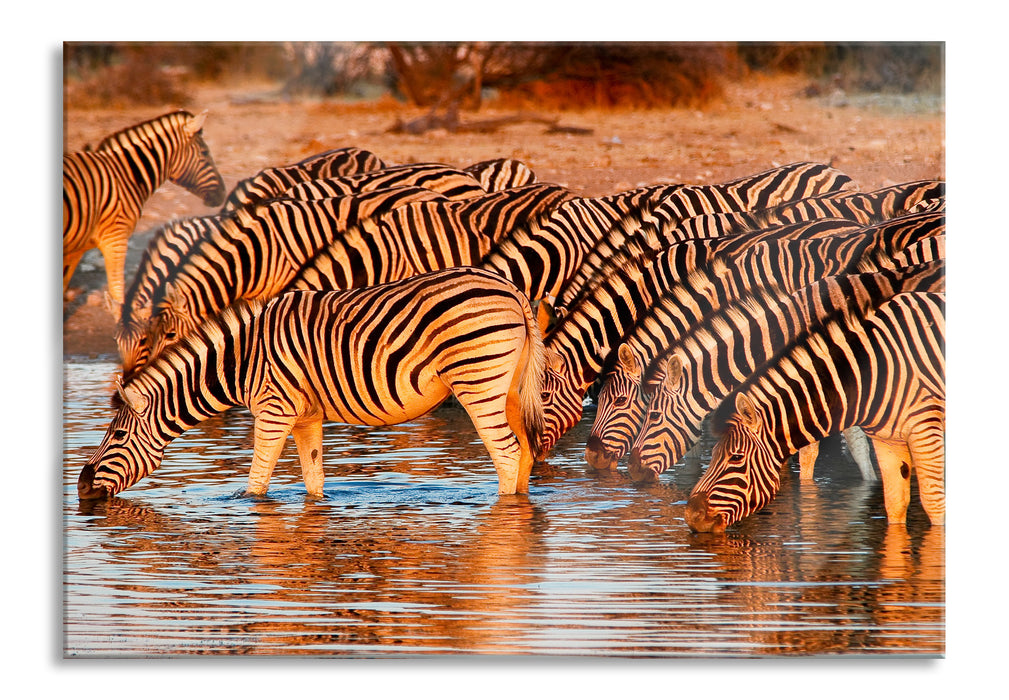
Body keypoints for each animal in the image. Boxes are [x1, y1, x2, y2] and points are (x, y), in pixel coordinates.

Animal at [65, 109, 227, 310]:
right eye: (204, 153)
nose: (223, 193)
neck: (124, 174)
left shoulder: (76, 249)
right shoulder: (115, 238)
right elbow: (118, 294)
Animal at [686, 290, 944, 532]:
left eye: (736, 458)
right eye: (714, 453)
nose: (690, 516)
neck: (867, 374)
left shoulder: (925, 430)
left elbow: (934, 503)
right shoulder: (887, 441)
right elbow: (895, 504)